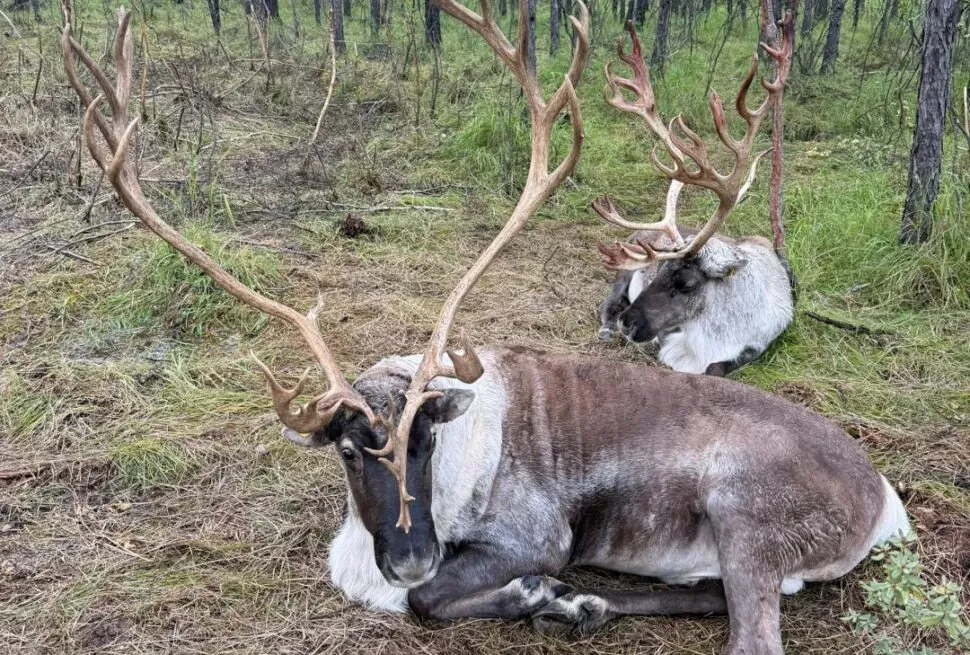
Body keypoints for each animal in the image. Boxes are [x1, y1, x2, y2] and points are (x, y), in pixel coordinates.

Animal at [594, 21, 796, 377]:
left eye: (687, 284)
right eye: (657, 272)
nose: (628, 323)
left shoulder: (755, 347)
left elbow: (717, 368)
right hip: (623, 270)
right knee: (607, 301)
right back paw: (606, 326)